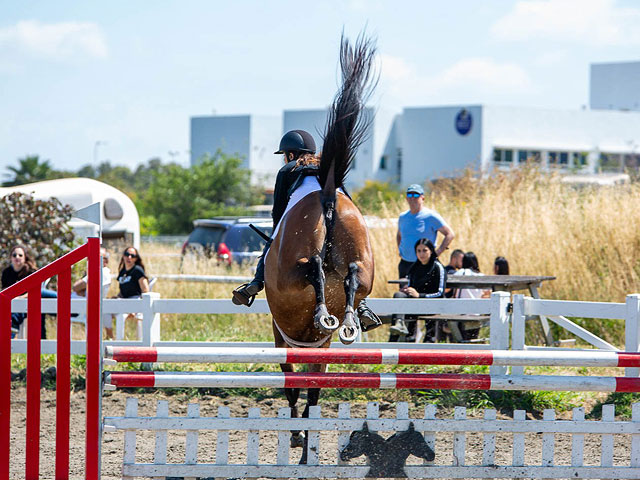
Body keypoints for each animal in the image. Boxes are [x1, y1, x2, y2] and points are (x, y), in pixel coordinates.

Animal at [264, 33, 378, 462]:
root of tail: (327, 193)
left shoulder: (283, 339)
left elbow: (294, 389)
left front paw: (297, 437)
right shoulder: (316, 350)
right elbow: (312, 393)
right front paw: (303, 442)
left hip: (294, 267)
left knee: (312, 266)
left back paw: (326, 314)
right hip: (360, 260)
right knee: (350, 277)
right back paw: (345, 319)